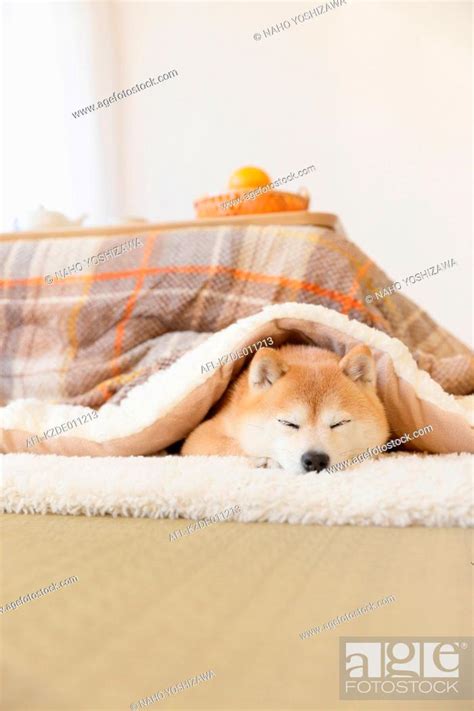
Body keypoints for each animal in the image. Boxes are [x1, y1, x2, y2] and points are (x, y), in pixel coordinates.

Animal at [181, 344, 388, 472]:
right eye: (288, 423)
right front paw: (265, 459)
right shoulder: (199, 436)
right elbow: (236, 445)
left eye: (339, 423)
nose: (315, 459)